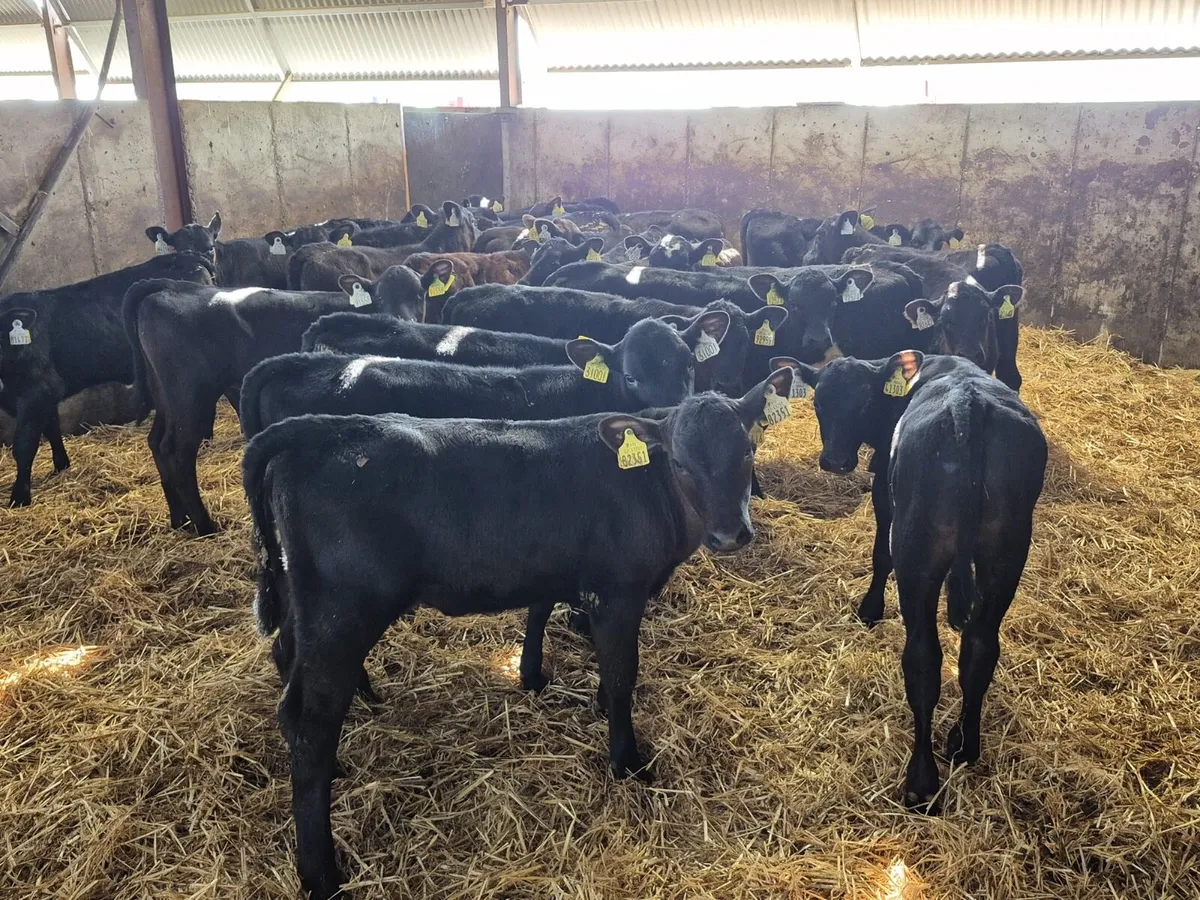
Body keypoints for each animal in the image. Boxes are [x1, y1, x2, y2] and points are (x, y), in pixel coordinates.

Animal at [1, 252, 214, 507]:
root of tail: (186, 256)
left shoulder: (37, 391)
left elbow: (24, 444)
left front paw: (19, 497)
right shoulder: (46, 394)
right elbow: (52, 427)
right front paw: (61, 465)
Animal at [121, 267, 424, 534]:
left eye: (420, 295)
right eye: (381, 298)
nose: (404, 324)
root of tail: (173, 285)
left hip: (166, 395)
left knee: (157, 442)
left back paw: (179, 518)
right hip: (190, 395)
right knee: (178, 453)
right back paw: (204, 526)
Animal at [242, 364, 793, 898]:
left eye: (748, 450)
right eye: (680, 463)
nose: (730, 535)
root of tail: (320, 428)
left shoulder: (555, 568)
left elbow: (541, 611)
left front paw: (538, 678)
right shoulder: (618, 590)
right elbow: (621, 673)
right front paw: (626, 759)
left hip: (304, 602)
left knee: (287, 666)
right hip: (343, 610)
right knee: (311, 726)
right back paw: (321, 875)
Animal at [783, 350, 1045, 813]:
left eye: (863, 403)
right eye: (819, 403)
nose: (834, 461)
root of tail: (967, 403)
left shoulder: (884, 499)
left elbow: (879, 554)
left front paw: (869, 609)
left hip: (917, 552)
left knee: (923, 658)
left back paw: (921, 780)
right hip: (1006, 554)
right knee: (980, 648)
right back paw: (964, 743)